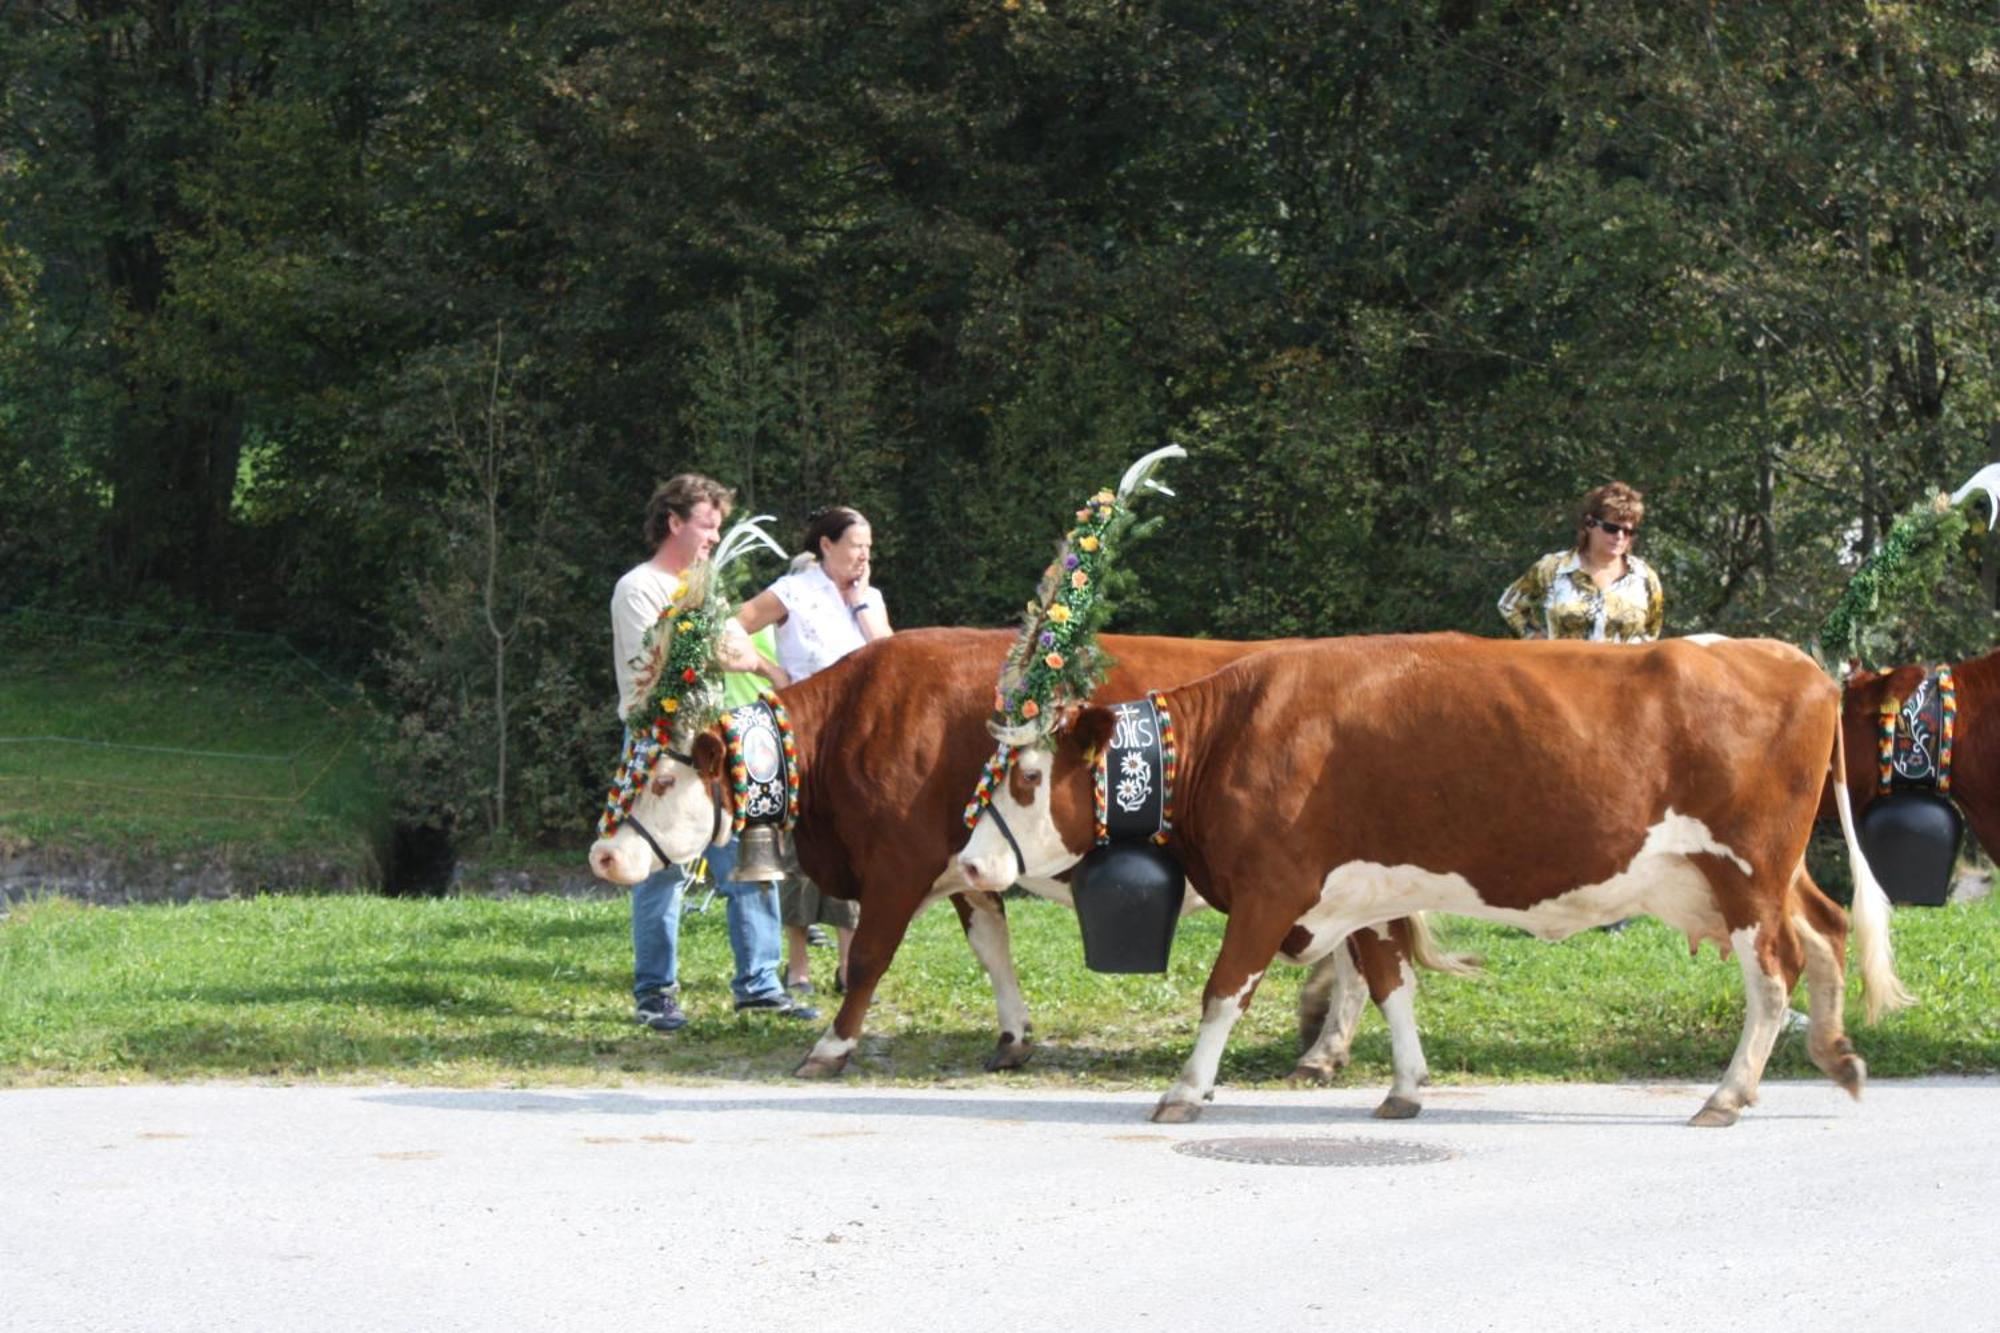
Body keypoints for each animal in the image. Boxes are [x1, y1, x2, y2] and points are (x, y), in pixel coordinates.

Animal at [584, 624, 1464, 1080]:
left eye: (659, 778)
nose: (603, 857)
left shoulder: (897, 859)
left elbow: (867, 958)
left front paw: (830, 1045)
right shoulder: (966, 861)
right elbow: (991, 946)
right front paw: (1013, 1035)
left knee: (1355, 956)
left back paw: (1323, 1052)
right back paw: (1325, 1048)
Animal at [960, 632, 1912, 1120]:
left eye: (1027, 776)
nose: (968, 861)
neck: (1236, 733)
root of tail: (1794, 657)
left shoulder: (1269, 890)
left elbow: (1224, 990)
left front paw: (1185, 1090)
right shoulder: (1364, 891)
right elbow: (1391, 987)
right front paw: (1406, 1087)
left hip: (1746, 869)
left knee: (1774, 973)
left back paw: (1729, 1090)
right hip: (1764, 873)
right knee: (1824, 933)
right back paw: (1836, 1054)